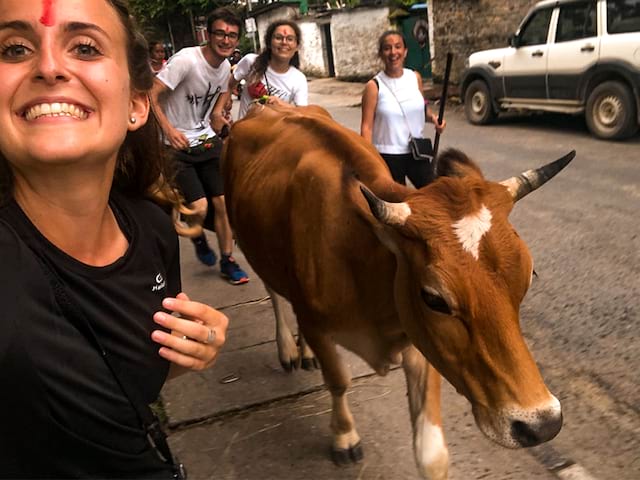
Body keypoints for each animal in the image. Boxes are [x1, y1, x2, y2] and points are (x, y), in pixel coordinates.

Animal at [222, 105, 572, 480]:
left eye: (529, 276)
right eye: (434, 298)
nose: (541, 424)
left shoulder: (423, 341)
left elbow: (432, 457)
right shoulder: (319, 322)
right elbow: (338, 379)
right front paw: (344, 436)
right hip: (248, 241)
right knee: (274, 294)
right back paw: (288, 348)